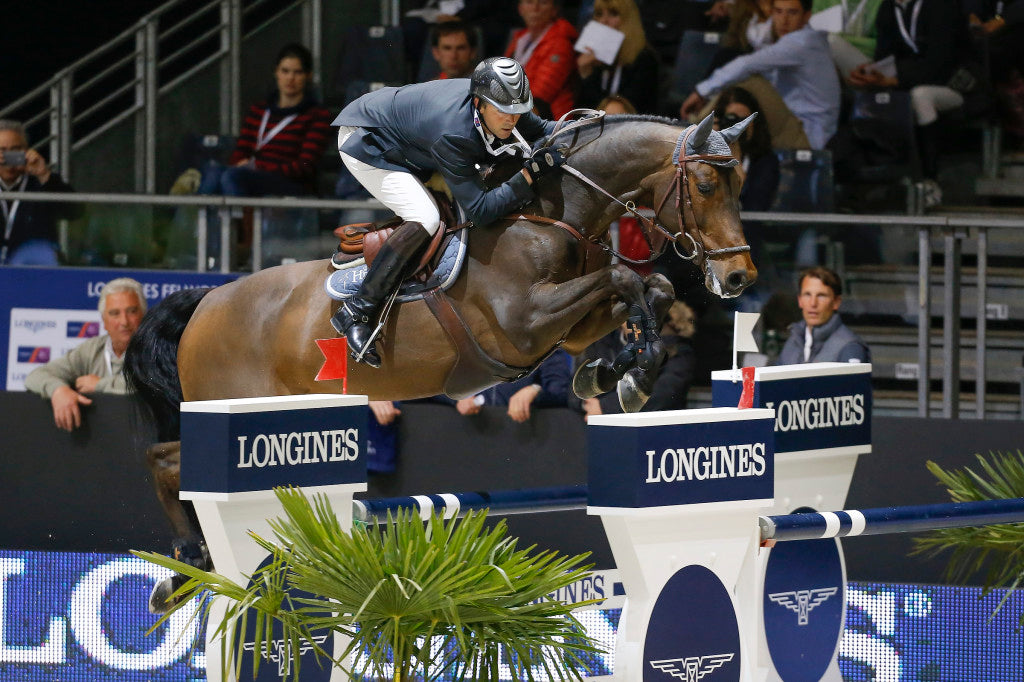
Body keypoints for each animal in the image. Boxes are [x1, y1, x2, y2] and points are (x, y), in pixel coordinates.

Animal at [123, 112, 757, 610]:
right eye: (705, 184)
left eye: (739, 185)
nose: (739, 277)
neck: (548, 217)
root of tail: (206, 302)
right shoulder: (524, 324)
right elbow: (625, 277)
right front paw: (628, 375)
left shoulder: (570, 330)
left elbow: (650, 289)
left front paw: (619, 372)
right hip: (229, 404)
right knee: (163, 460)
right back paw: (184, 563)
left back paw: (187, 571)